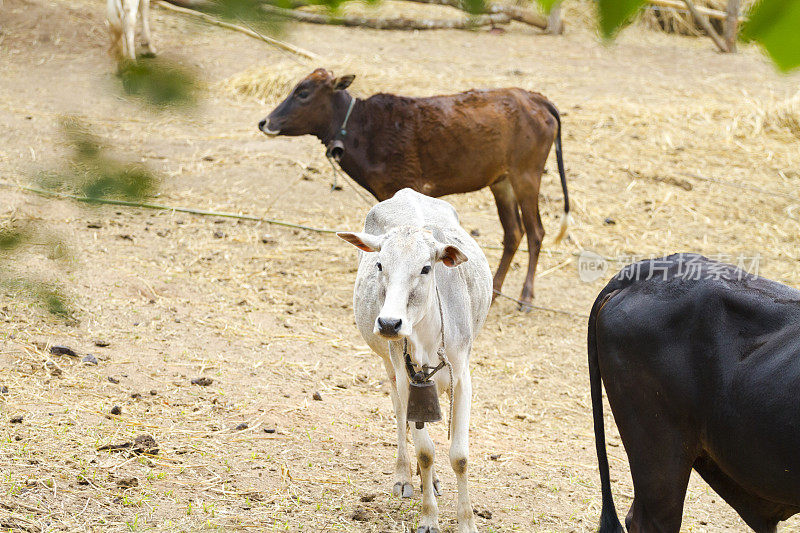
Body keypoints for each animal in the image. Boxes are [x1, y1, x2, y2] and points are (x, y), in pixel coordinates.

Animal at [258, 67, 568, 308]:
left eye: (303, 93)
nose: (265, 122)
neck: (364, 127)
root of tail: (536, 98)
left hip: (526, 176)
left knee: (535, 232)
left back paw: (526, 298)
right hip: (501, 182)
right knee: (513, 233)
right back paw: (495, 291)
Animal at [336, 188, 490, 532]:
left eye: (426, 268)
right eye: (380, 264)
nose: (389, 323)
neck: (428, 342)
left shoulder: (463, 379)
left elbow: (459, 456)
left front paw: (466, 521)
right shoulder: (407, 379)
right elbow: (425, 451)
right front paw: (429, 517)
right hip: (389, 366)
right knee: (399, 417)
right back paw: (407, 477)